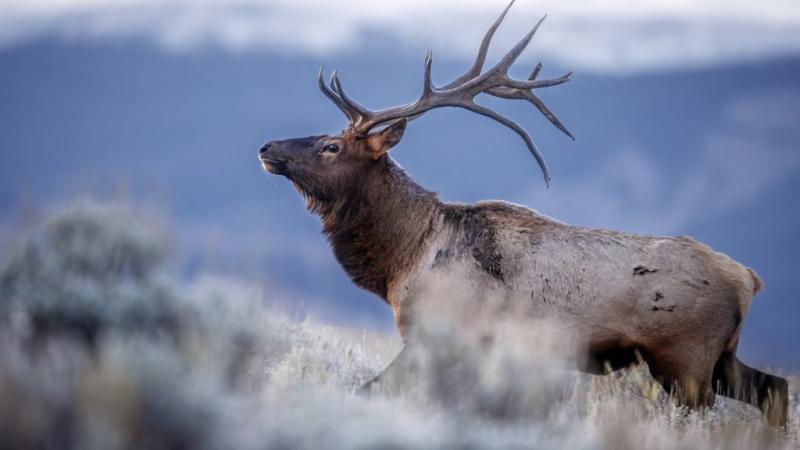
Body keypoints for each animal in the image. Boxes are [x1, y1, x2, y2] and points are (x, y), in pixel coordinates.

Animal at [260, 0, 788, 428]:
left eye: (331, 146)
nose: (267, 147)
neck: (401, 258)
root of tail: (748, 278)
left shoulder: (441, 336)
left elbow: (369, 391)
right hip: (720, 356)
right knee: (775, 389)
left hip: (686, 359)